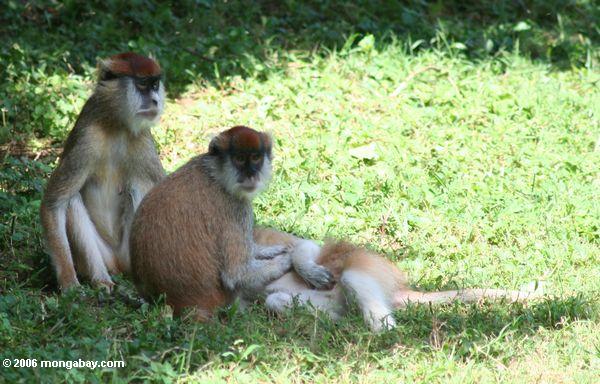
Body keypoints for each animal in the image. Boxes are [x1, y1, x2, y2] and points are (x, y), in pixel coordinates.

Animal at [130, 126, 300, 318]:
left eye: (256, 158)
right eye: (239, 159)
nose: (251, 176)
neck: (215, 174)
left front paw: (268, 250)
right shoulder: (235, 208)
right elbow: (236, 274)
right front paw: (286, 260)